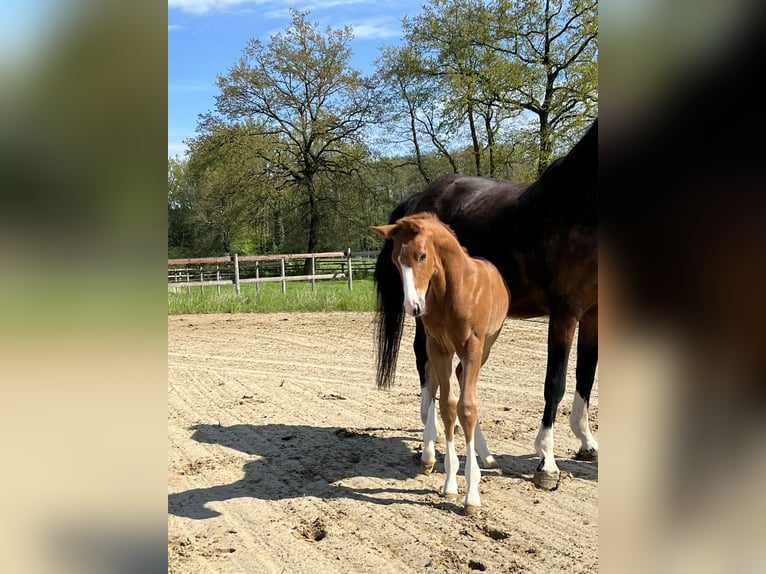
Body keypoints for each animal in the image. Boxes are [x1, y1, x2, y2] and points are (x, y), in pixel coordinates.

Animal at [372, 213, 510, 516]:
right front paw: (450, 482)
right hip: (433, 348)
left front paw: (472, 495)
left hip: (487, 346)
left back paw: (486, 456)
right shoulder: (439, 347)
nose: (412, 306)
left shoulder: (473, 347)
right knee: (432, 382)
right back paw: (428, 455)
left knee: (461, 382)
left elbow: (467, 408)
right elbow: (448, 407)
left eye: (422, 256)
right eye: (395, 260)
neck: (455, 291)